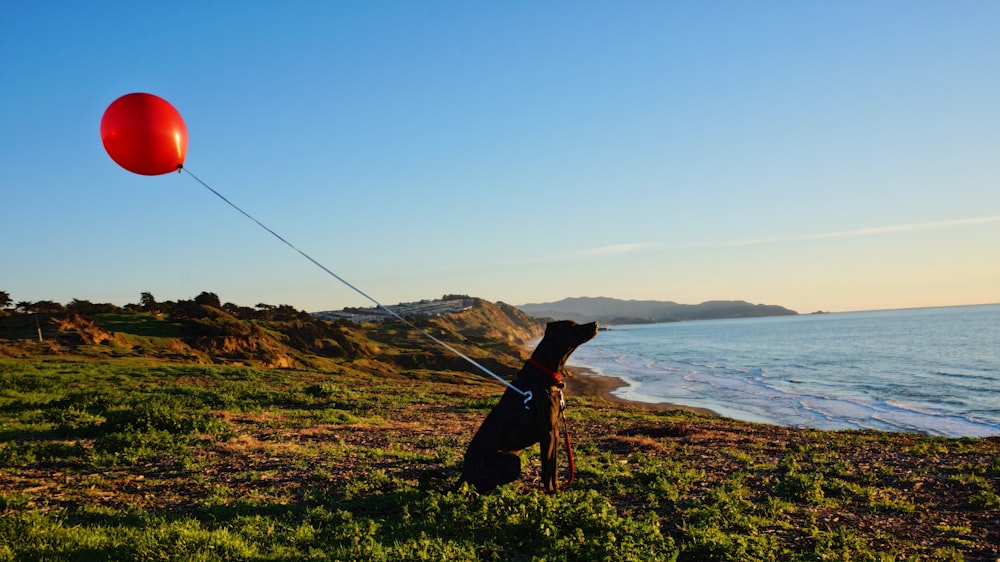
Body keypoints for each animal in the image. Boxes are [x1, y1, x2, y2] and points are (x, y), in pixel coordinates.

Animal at [462, 320, 600, 490]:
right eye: (572, 326)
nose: (595, 323)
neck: (545, 372)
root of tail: (463, 474)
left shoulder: (555, 431)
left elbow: (553, 468)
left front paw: (557, 489)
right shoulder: (547, 432)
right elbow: (547, 470)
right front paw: (550, 492)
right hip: (512, 461)